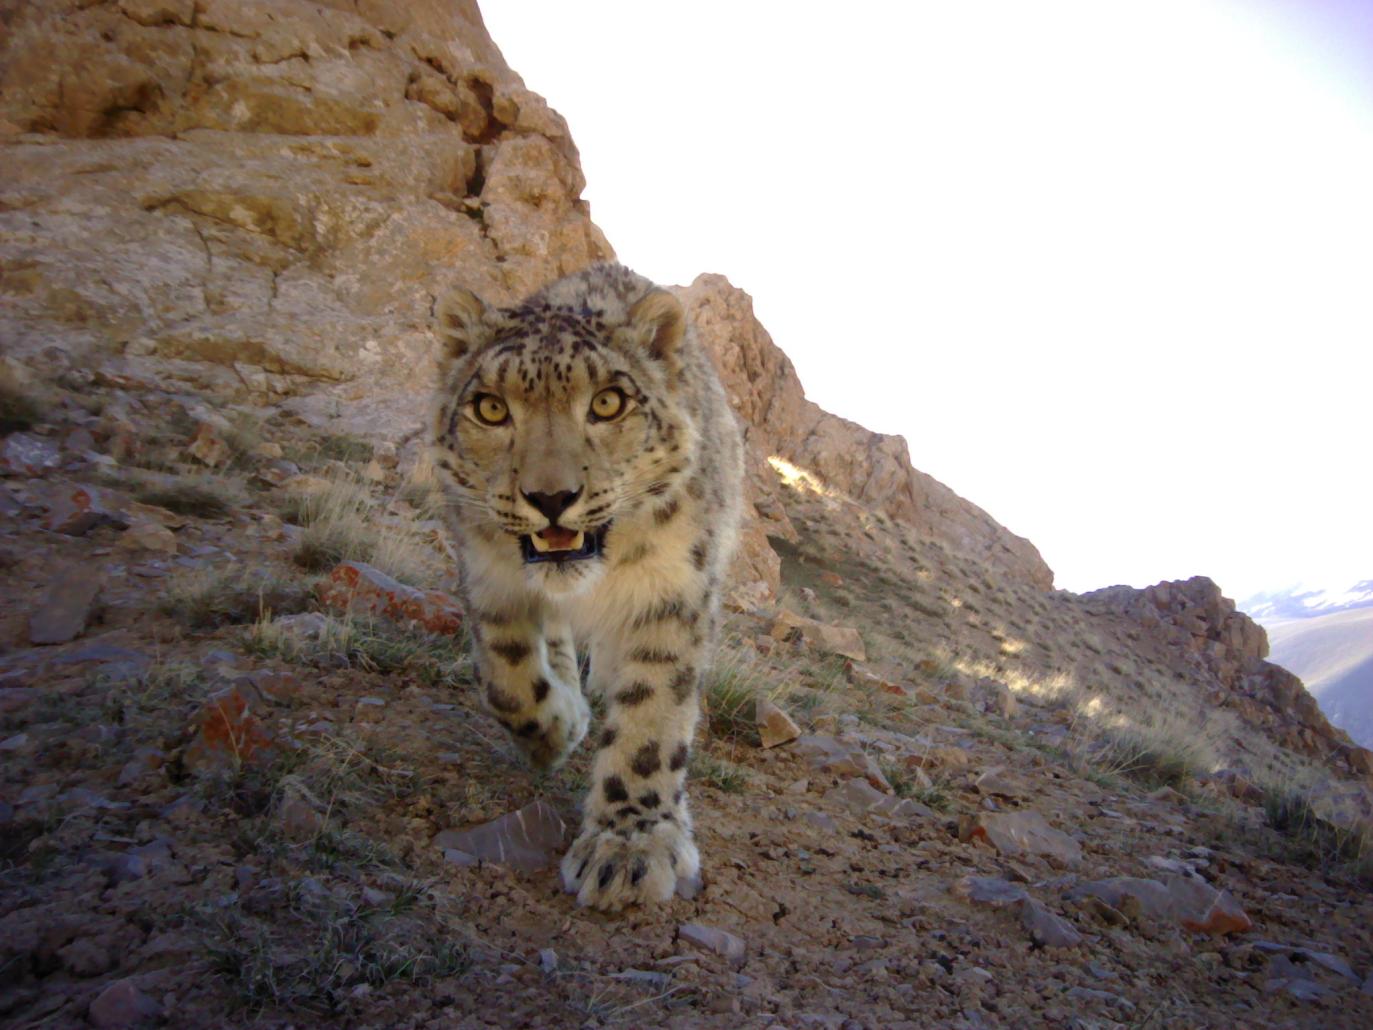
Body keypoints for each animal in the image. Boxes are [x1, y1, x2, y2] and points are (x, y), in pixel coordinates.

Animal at [429, 262, 744, 912]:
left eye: (608, 402)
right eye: (490, 408)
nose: (551, 497)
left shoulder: (672, 593)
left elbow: (651, 719)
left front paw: (629, 848)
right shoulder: (488, 575)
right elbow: (506, 678)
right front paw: (555, 732)